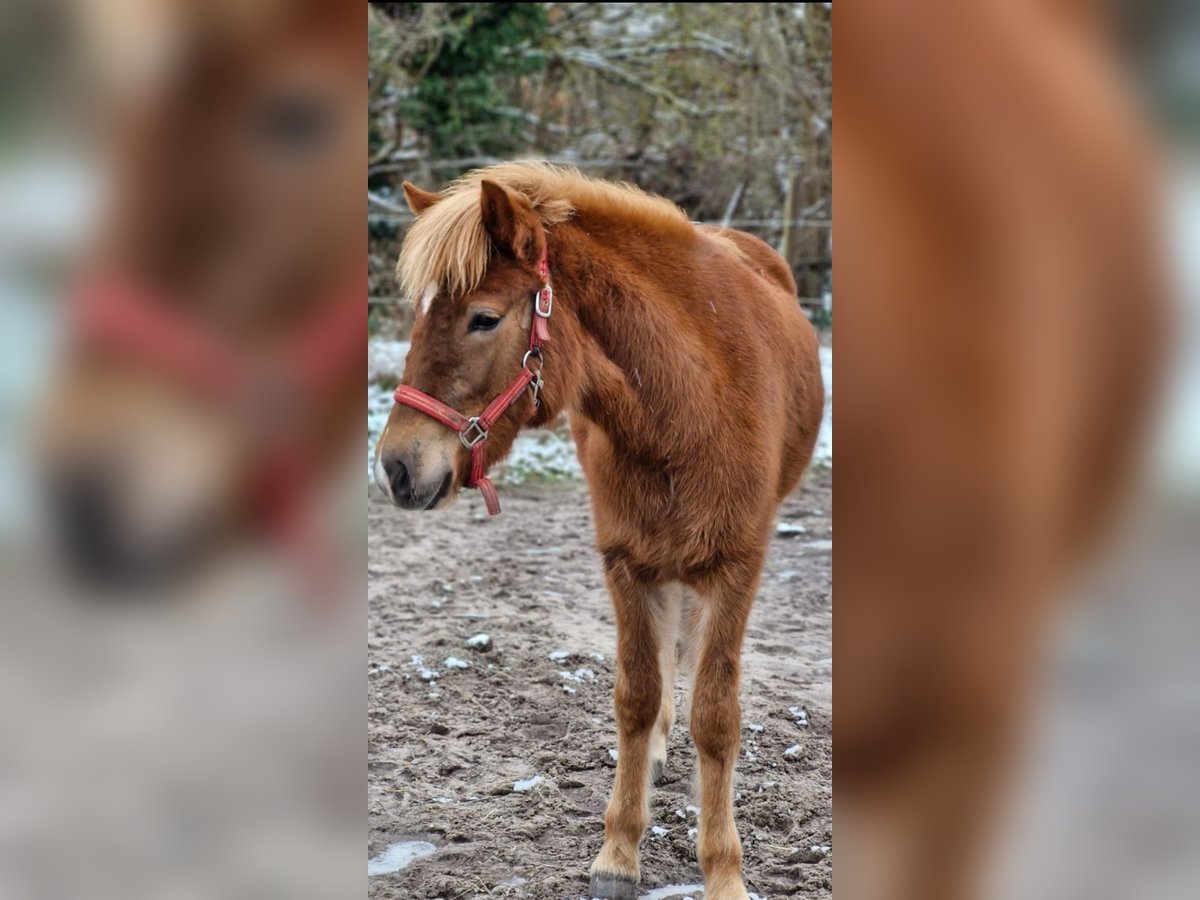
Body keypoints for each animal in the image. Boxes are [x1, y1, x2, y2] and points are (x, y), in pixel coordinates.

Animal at [374, 164, 825, 900]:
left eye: (483, 318)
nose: (396, 467)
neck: (684, 404)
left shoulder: (734, 566)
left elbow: (716, 716)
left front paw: (723, 871)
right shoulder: (627, 561)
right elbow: (636, 699)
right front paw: (619, 853)